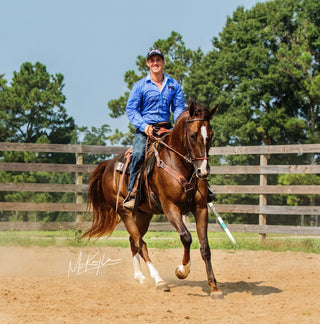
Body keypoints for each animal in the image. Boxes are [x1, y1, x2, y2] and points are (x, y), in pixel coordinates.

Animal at [82, 100, 222, 298]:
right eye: (193, 135)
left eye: (210, 135)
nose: (203, 171)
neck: (179, 165)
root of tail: (109, 165)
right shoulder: (170, 207)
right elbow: (186, 237)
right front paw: (182, 270)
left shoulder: (201, 208)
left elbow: (205, 247)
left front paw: (214, 287)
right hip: (124, 211)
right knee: (141, 243)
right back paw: (159, 280)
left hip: (143, 214)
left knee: (133, 241)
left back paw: (140, 277)